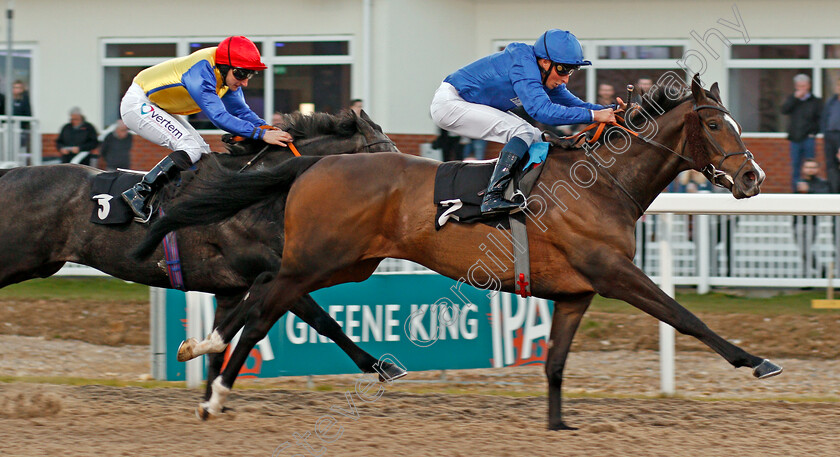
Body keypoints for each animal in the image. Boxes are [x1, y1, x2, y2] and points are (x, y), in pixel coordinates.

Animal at [0, 109, 404, 400]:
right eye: (385, 153)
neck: (255, 194)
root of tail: (9, 175)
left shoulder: (232, 288)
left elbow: (219, 348)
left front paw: (208, 397)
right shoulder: (280, 272)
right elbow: (324, 321)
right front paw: (381, 366)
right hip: (16, 258)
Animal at [143, 75, 780, 428]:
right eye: (716, 127)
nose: (753, 177)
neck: (601, 183)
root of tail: (314, 163)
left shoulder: (576, 291)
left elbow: (554, 362)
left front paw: (558, 425)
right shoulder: (614, 272)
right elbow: (685, 316)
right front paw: (756, 361)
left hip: (344, 263)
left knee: (261, 297)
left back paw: (204, 350)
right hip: (319, 259)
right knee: (261, 312)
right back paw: (215, 393)